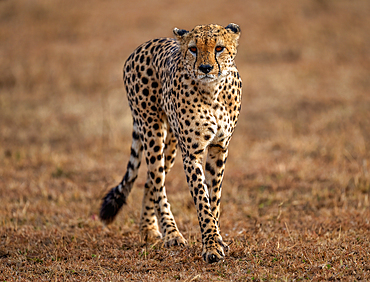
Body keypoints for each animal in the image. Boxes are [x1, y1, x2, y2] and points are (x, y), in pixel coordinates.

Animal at [99, 23, 241, 264]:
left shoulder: (219, 148)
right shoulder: (192, 153)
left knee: (151, 179)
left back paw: (148, 228)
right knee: (157, 180)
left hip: (172, 142)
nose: (205, 68)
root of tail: (143, 45)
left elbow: (214, 199)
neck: (213, 91)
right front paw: (211, 247)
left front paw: (218, 240)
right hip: (152, 129)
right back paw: (171, 233)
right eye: (193, 49)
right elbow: (202, 201)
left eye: (219, 48)